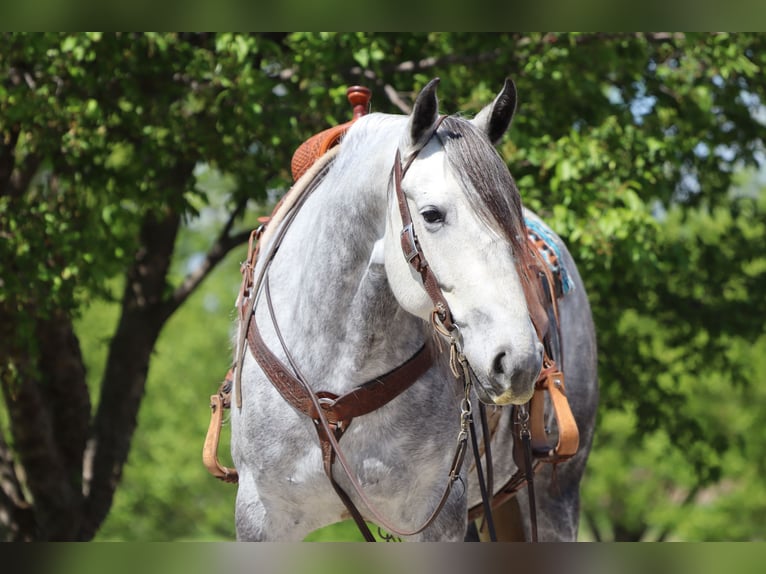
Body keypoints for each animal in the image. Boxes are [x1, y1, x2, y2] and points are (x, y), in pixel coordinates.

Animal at [229, 78, 598, 541]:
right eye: (431, 214)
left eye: (509, 216)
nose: (518, 362)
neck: (334, 388)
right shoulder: (259, 517)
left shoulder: (437, 514)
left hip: (555, 497)